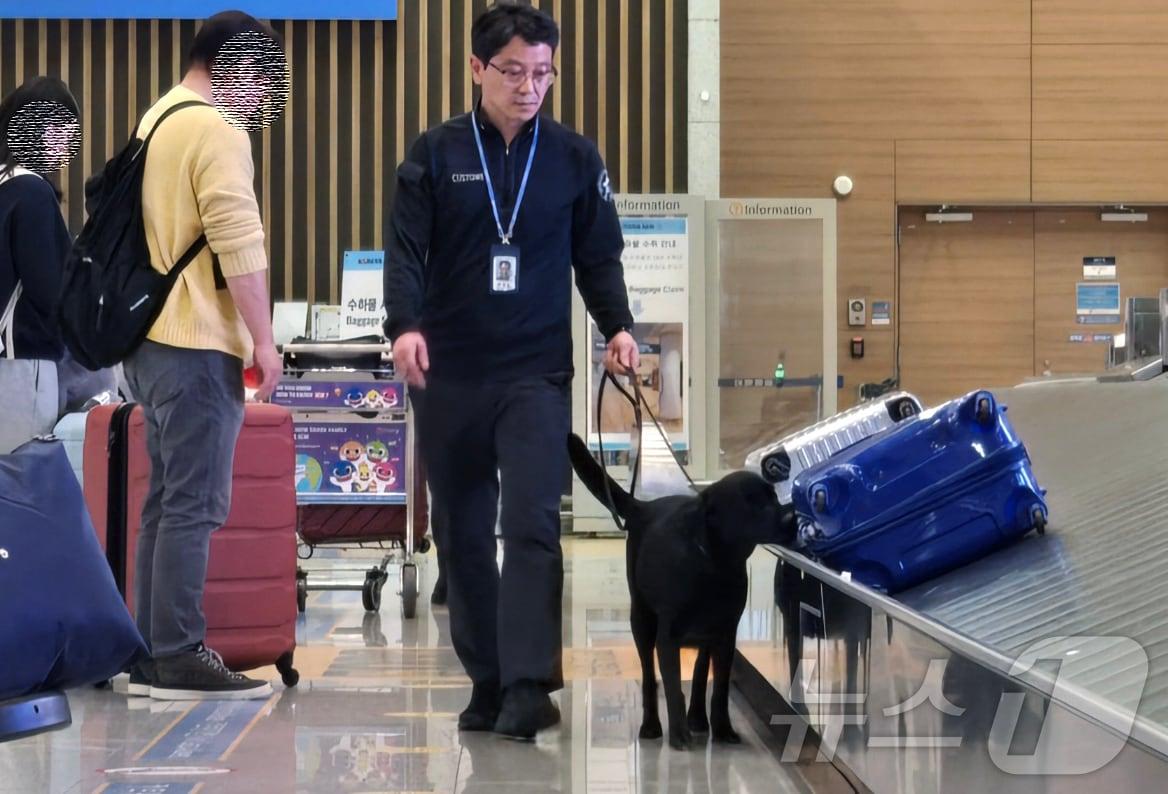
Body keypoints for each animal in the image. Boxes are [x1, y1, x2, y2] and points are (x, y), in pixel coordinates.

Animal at [567, 434, 803, 751]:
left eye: (775, 497)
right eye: (750, 503)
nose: (792, 517)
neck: (714, 565)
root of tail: (643, 507)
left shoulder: (726, 635)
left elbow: (719, 688)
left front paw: (722, 728)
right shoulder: (667, 639)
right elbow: (673, 687)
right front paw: (678, 734)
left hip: (704, 635)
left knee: (702, 672)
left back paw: (698, 719)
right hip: (641, 621)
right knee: (648, 676)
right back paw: (652, 725)